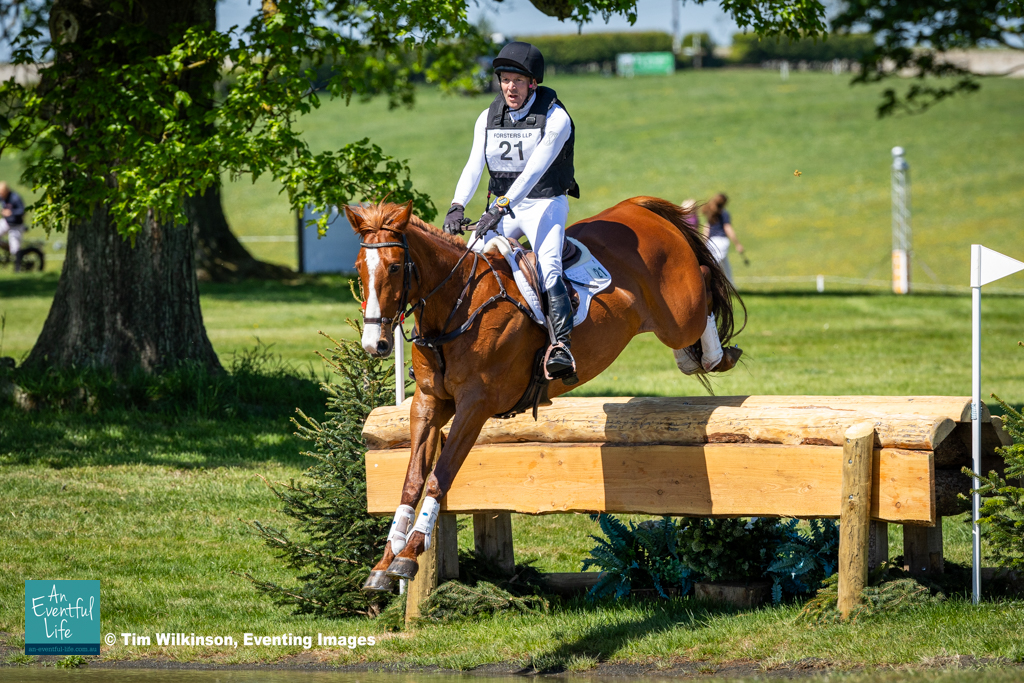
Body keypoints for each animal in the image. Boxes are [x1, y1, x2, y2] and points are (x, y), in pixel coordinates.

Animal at [347, 196, 743, 590]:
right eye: (359, 269)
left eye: (395, 267)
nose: (375, 345)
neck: (458, 305)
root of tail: (635, 206)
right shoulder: (429, 403)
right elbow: (412, 480)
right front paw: (385, 562)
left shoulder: (475, 405)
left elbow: (439, 477)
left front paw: (411, 553)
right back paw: (693, 358)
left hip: (679, 315)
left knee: (705, 282)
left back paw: (714, 356)